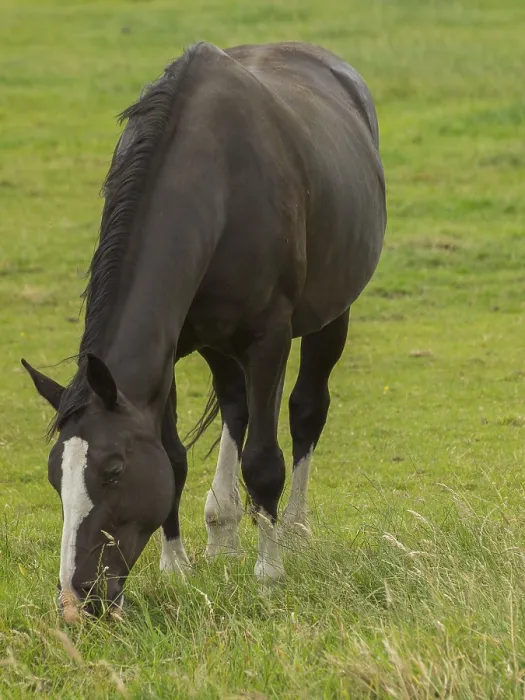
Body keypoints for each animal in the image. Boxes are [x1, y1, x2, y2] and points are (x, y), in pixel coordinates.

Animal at [22, 41, 386, 620]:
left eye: (114, 471)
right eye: (57, 476)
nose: (77, 600)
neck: (217, 181)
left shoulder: (268, 340)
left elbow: (264, 462)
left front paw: (269, 574)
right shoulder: (168, 352)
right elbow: (173, 458)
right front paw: (177, 567)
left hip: (331, 317)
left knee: (306, 411)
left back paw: (294, 530)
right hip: (218, 342)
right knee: (236, 407)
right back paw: (223, 532)